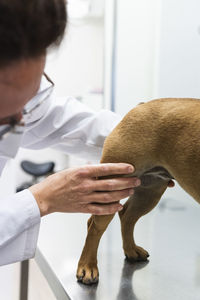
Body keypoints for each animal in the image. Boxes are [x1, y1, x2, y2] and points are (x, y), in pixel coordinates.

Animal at [76, 98, 199, 284]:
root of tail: (142, 105)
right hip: (112, 185)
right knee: (96, 227)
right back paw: (87, 266)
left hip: (148, 193)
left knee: (127, 217)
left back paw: (131, 250)